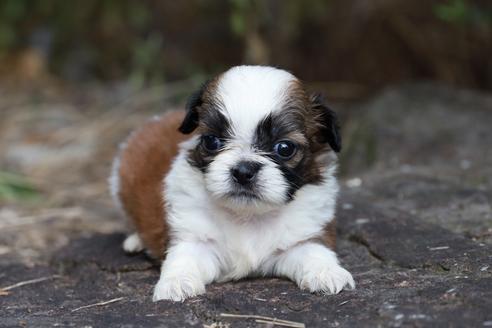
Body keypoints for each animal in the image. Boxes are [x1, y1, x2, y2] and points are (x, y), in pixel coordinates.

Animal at [110, 65, 356, 302]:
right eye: (211, 141)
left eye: (284, 148)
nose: (244, 171)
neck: (248, 215)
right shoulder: (192, 236)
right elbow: (183, 258)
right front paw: (176, 282)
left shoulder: (303, 237)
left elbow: (316, 251)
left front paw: (327, 273)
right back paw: (135, 240)